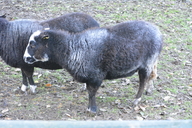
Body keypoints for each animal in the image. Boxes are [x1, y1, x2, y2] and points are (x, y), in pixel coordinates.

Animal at [23, 20, 163, 113]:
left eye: (32, 44)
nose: (25, 58)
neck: (74, 49)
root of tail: (157, 31)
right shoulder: (89, 77)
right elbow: (90, 92)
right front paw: (90, 107)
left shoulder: (96, 76)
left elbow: (91, 93)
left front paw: (92, 109)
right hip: (151, 63)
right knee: (151, 76)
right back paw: (149, 90)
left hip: (146, 63)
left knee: (143, 81)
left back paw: (136, 100)